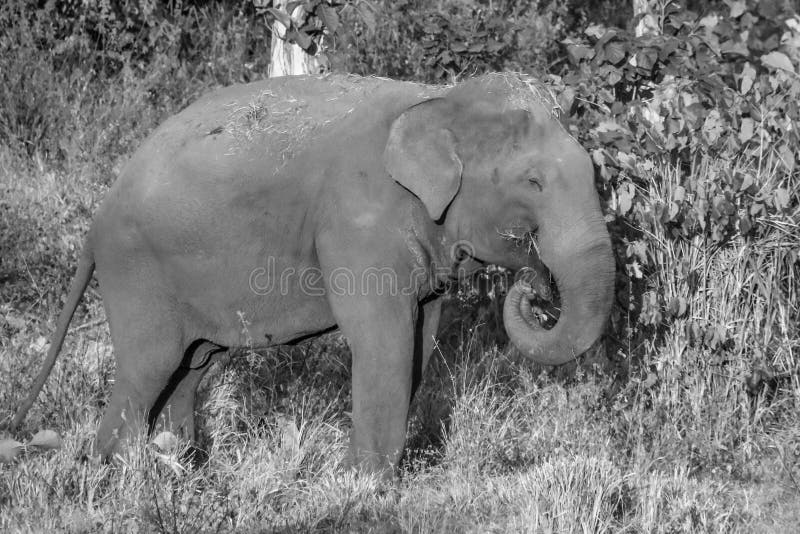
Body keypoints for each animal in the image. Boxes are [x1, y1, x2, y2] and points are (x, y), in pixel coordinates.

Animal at [10, 72, 614, 477]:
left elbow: (418, 341)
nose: (536, 287)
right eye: (533, 182)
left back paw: (185, 468)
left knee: (190, 366)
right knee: (148, 367)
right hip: (137, 271)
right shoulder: (356, 221)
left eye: (593, 172)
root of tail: (96, 220)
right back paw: (115, 474)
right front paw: (362, 484)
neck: (440, 98)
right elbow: (383, 338)